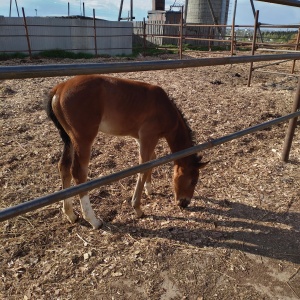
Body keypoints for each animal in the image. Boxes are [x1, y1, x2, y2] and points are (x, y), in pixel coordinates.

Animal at [45, 75, 207, 230]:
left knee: (64, 167)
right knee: (78, 173)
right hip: (82, 139)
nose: (184, 203)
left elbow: (152, 160)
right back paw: (93, 220)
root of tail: (60, 88)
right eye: (194, 180)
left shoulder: (141, 138)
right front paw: (138, 208)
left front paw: (149, 189)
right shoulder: (149, 136)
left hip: (69, 139)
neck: (165, 109)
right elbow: (144, 167)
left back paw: (71, 214)